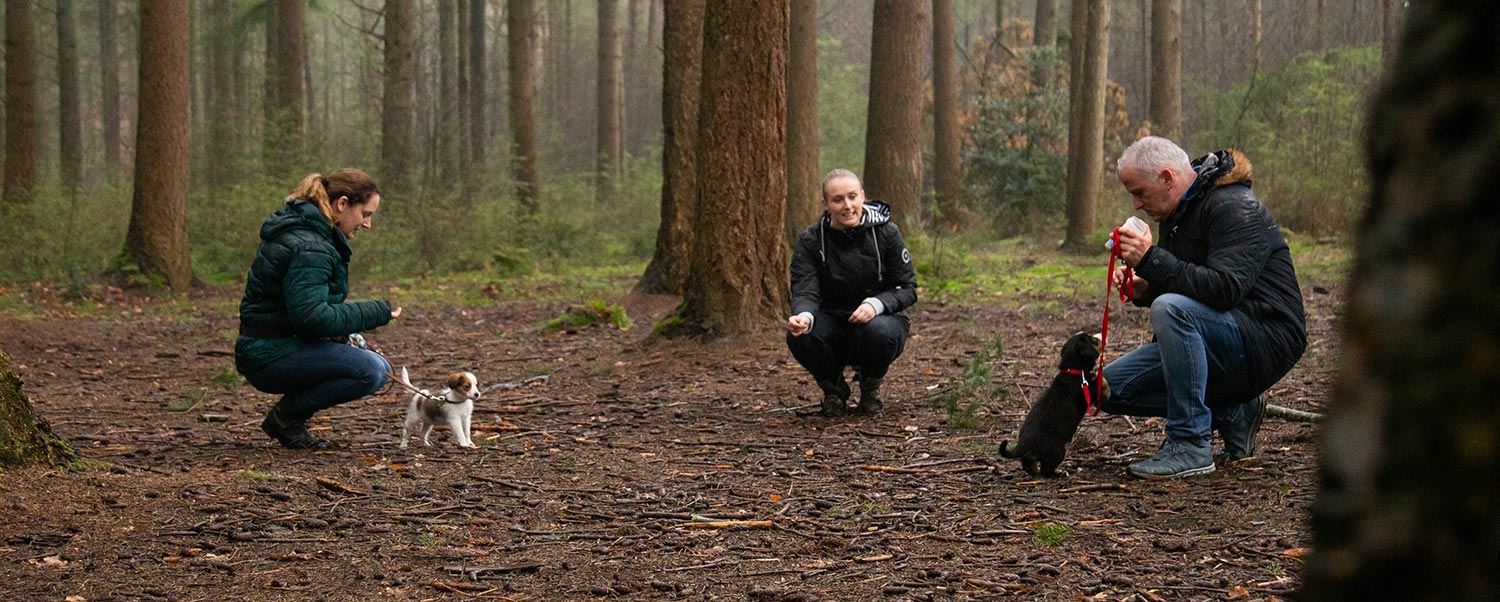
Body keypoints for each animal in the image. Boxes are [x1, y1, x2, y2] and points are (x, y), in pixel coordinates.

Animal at [1002, 330, 1110, 477]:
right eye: (1093, 340)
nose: (1102, 335)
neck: (1074, 370)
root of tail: (1024, 441)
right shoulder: (1090, 389)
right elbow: (1100, 379)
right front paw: (1107, 392)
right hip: (1058, 451)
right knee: (1046, 470)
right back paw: (1058, 473)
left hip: (1033, 454)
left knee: (1028, 463)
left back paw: (1035, 471)